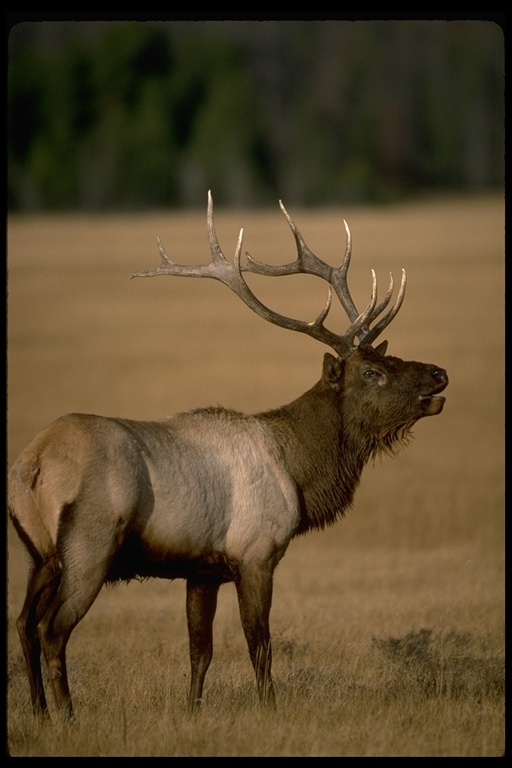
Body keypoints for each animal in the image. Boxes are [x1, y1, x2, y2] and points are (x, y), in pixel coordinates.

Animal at [8, 192, 448, 720]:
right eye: (371, 372)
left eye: (390, 357)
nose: (439, 374)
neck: (298, 469)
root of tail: (32, 465)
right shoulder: (256, 552)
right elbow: (260, 644)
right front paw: (271, 710)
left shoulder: (202, 571)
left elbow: (200, 652)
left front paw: (192, 711)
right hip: (88, 548)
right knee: (52, 631)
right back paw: (69, 718)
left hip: (37, 555)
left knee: (23, 626)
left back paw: (39, 713)